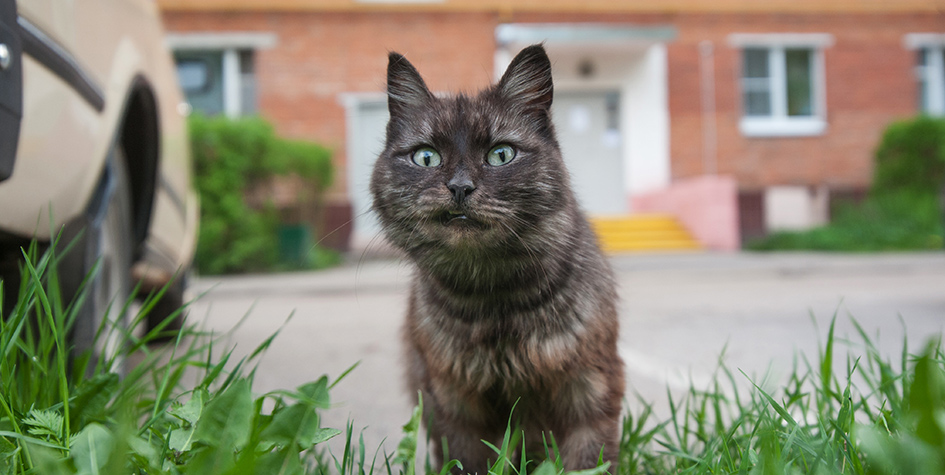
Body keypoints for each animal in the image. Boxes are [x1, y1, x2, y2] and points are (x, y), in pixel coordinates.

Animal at [370, 43, 628, 472]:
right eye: (426, 158)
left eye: (500, 154)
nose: (460, 187)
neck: (494, 300)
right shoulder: (454, 400)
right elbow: (466, 459)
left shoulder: (589, 386)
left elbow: (587, 457)